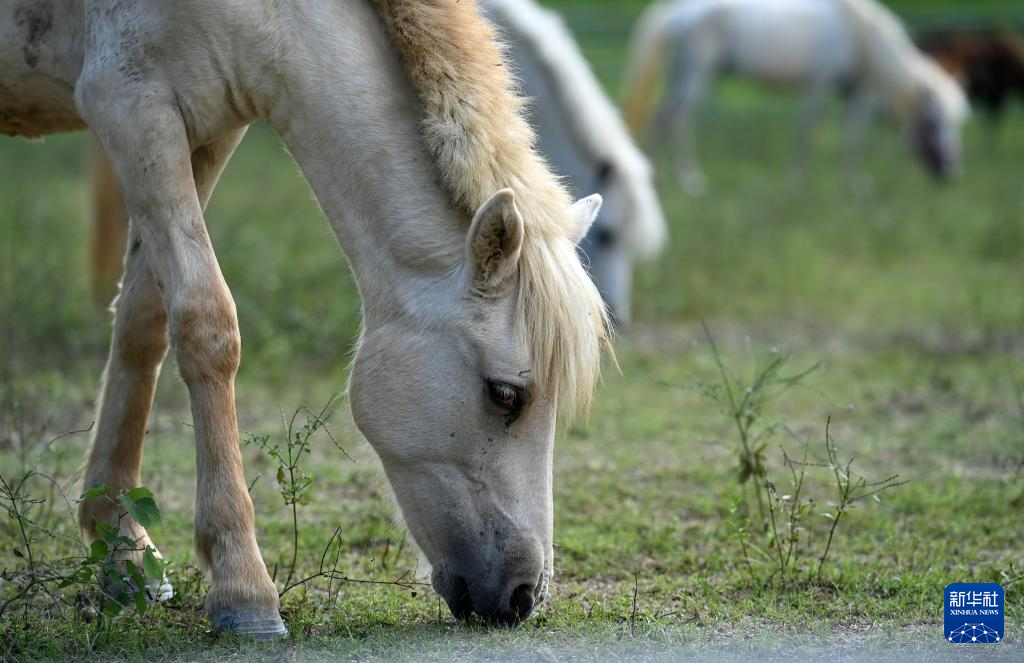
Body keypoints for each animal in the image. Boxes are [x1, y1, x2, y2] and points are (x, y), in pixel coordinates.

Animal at [622, 0, 966, 194]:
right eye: (933, 123)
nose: (951, 173)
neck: (860, 36)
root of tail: (676, 13)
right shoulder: (820, 86)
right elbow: (807, 134)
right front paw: (795, 185)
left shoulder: (854, 94)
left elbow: (851, 138)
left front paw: (855, 186)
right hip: (696, 74)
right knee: (673, 119)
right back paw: (686, 181)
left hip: (684, 75)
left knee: (665, 117)